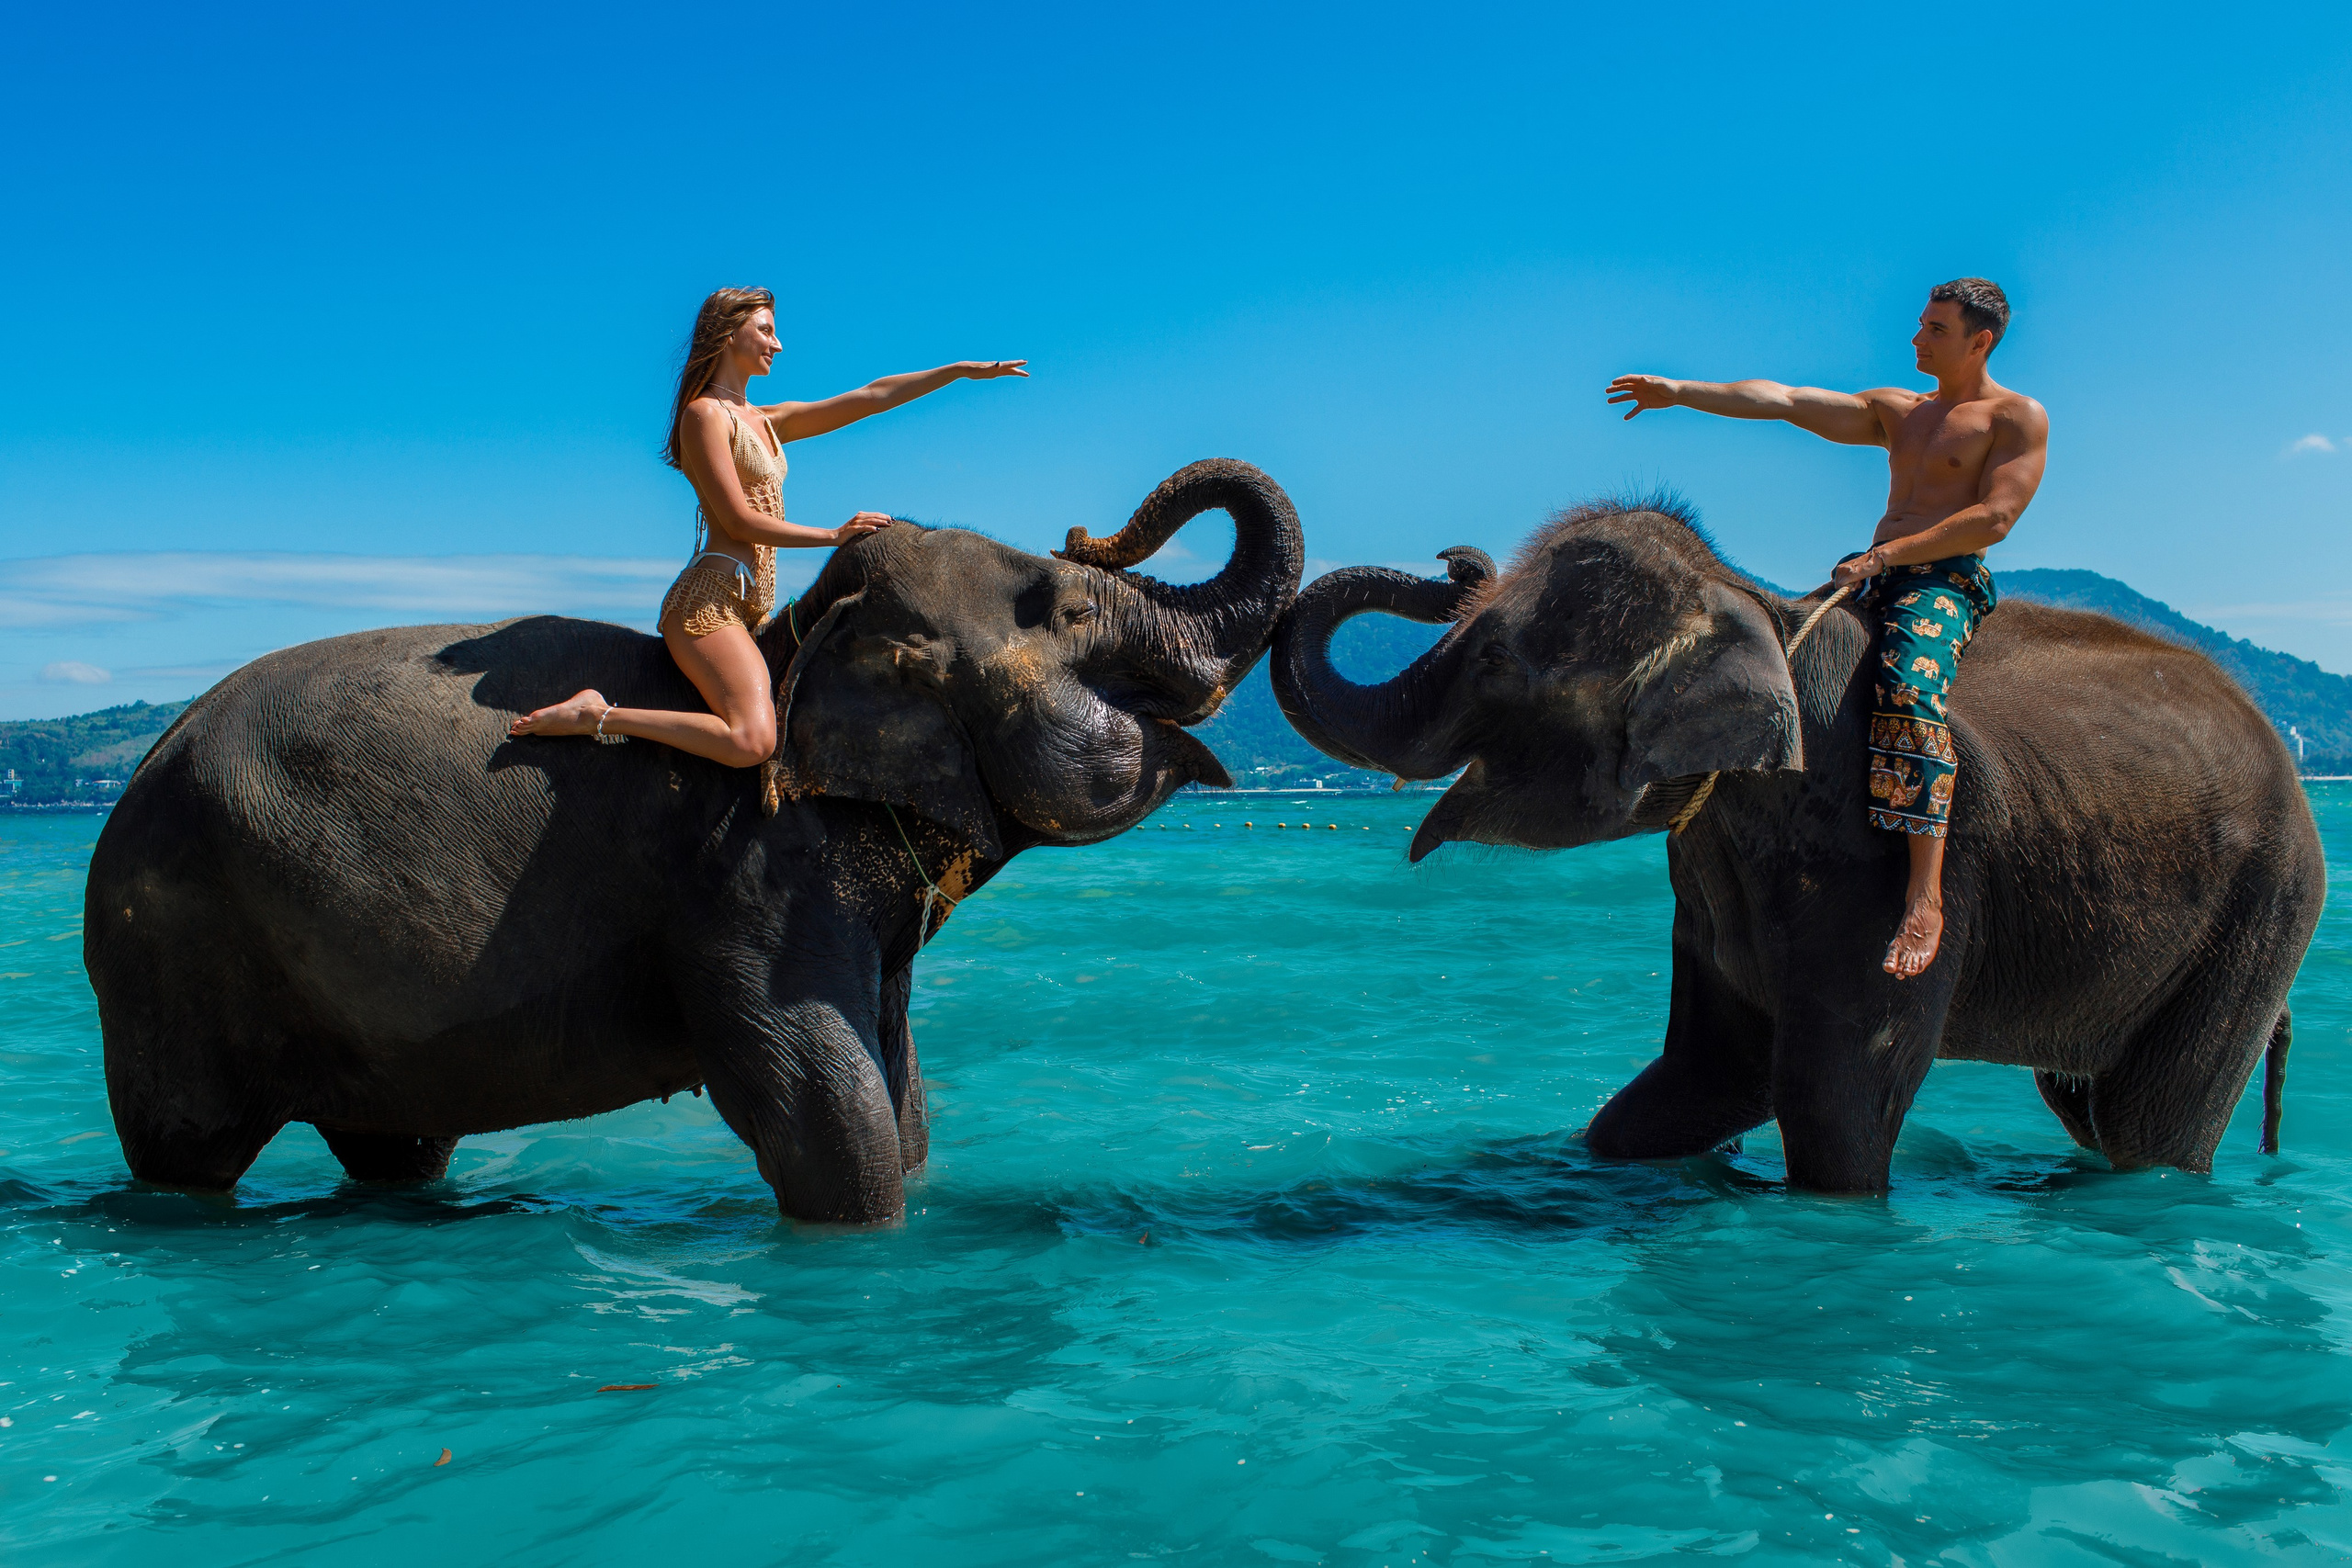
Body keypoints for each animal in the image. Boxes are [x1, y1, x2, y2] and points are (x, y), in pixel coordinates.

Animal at [85, 458, 1302, 1222]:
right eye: (1063, 607)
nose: (1086, 528)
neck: (800, 638)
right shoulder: (744, 871)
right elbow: (817, 1097)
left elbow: (900, 1088)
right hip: (173, 960)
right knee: (189, 1153)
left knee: (397, 1148)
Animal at [1271, 496, 2322, 1192]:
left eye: (1494, 661)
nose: (1453, 558)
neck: (1757, 604)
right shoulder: (1709, 867)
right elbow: (1705, 1074)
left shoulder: (1882, 870)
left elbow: (1833, 1110)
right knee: (2089, 1106)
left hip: (2262, 915)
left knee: (2150, 1128)